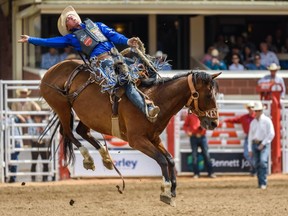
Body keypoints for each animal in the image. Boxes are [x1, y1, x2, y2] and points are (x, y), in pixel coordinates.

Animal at [40, 60, 220, 206]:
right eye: (209, 94)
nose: (214, 122)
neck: (154, 101)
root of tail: (52, 70)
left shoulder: (154, 138)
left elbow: (170, 159)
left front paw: (173, 190)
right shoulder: (137, 140)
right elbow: (162, 160)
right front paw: (166, 190)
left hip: (86, 115)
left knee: (81, 131)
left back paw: (106, 158)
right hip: (62, 107)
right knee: (68, 132)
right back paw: (89, 159)